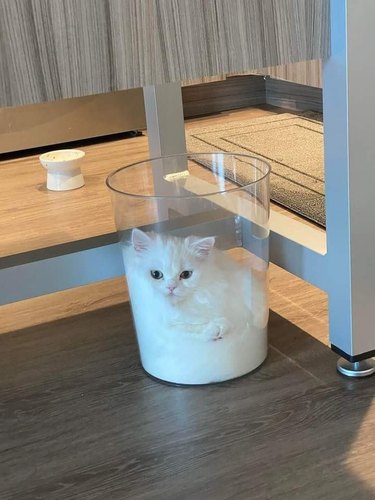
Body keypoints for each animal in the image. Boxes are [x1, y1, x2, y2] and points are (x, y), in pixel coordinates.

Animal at [123, 229, 268, 344]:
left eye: (186, 274)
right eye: (156, 274)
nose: (171, 287)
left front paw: (221, 328)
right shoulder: (160, 326)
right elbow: (184, 329)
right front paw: (214, 330)